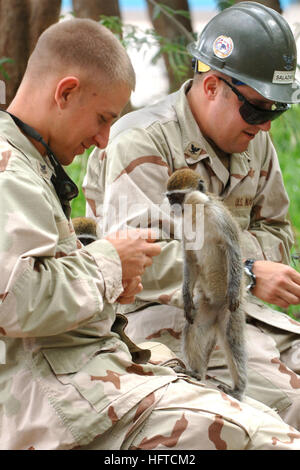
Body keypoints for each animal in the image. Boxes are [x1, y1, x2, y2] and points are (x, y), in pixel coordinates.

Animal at [166, 169, 246, 400]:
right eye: (170, 198)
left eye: (177, 197)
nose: (172, 208)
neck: (197, 214)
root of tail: (218, 309)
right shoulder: (184, 228)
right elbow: (190, 259)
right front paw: (185, 297)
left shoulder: (221, 219)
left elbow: (233, 250)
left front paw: (234, 290)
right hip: (205, 308)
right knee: (193, 329)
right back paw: (195, 372)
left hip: (229, 313)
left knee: (231, 341)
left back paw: (238, 389)